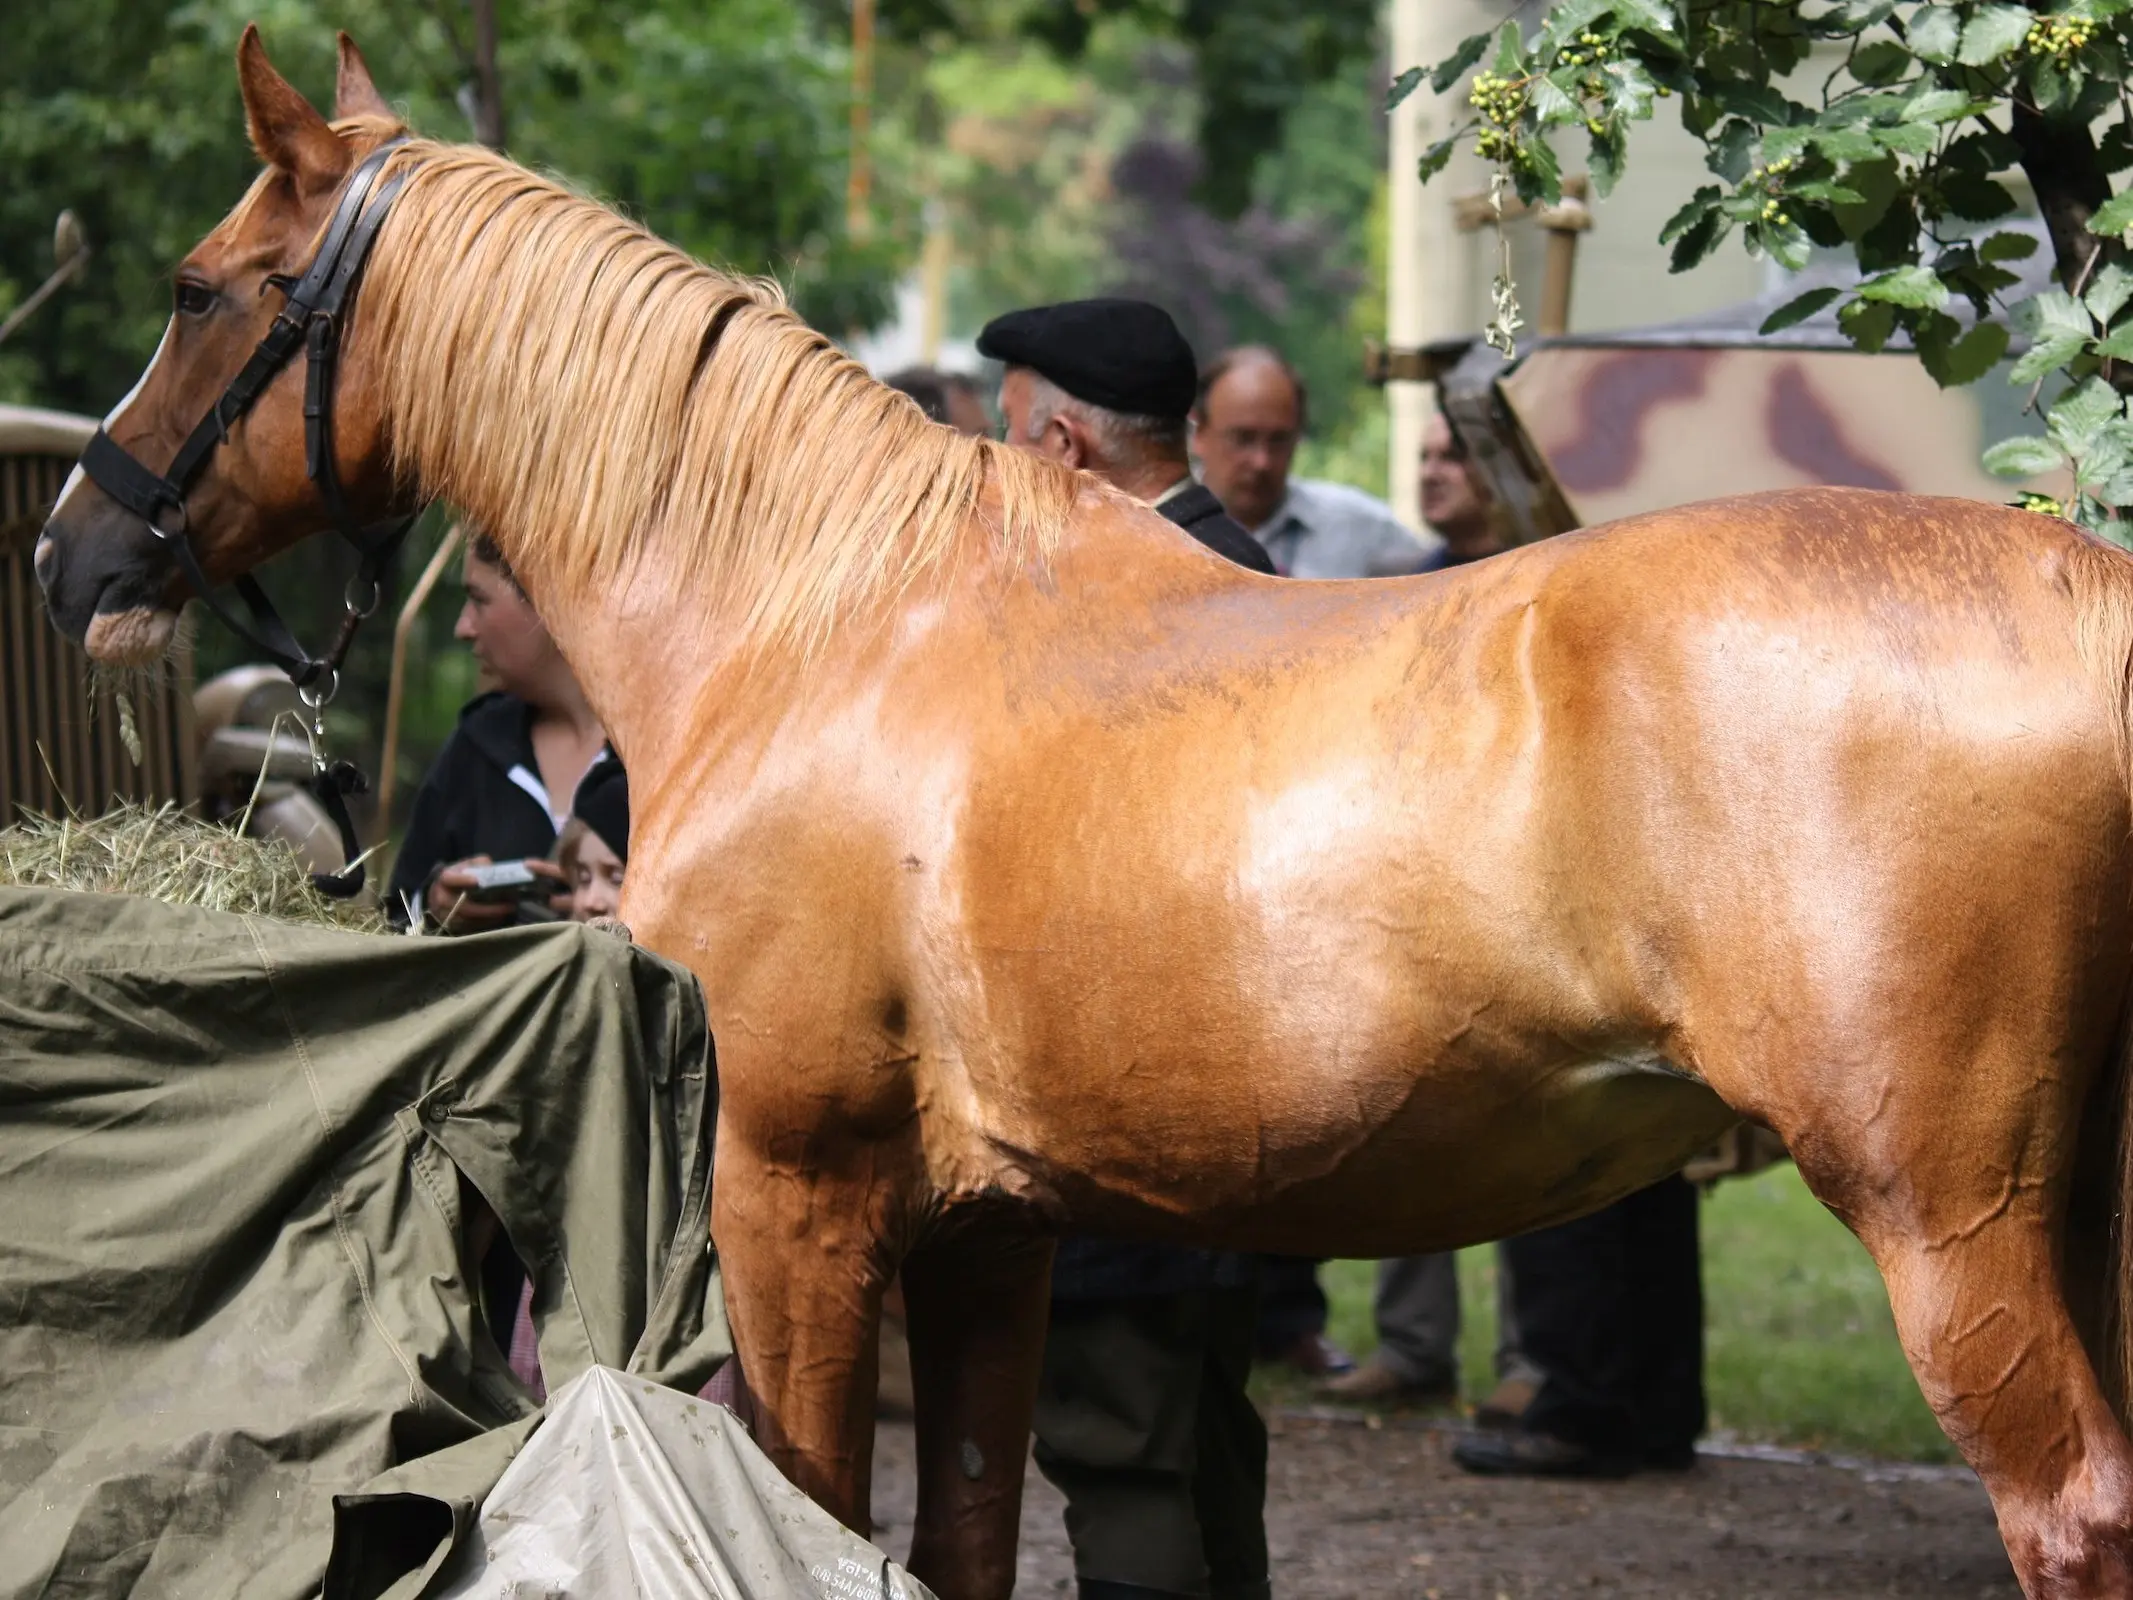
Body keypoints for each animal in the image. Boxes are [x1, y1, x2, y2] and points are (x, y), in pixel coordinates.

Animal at [33, 28, 2133, 1600]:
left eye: (197, 289)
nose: (72, 554)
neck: (825, 617)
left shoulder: (793, 1194)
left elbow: (814, 1511)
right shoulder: (990, 1230)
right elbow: (960, 1532)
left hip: (1948, 1222)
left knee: (2067, 1514)